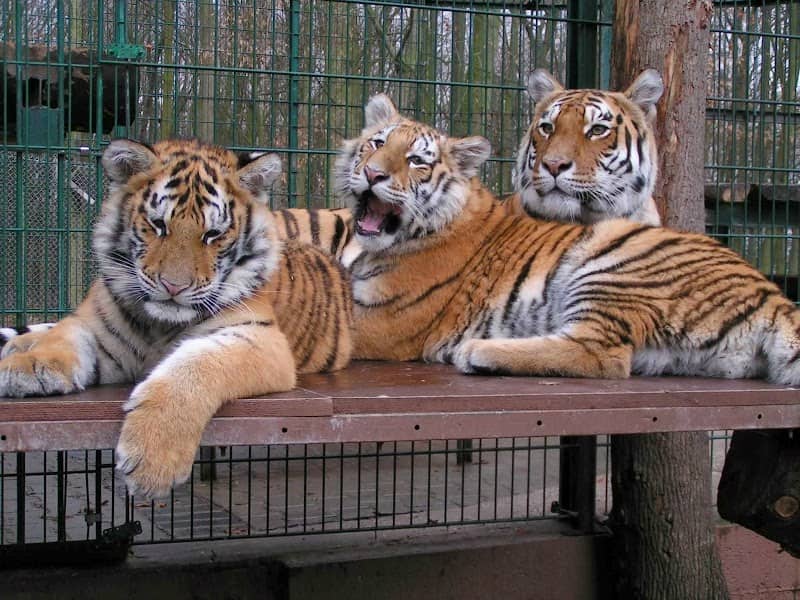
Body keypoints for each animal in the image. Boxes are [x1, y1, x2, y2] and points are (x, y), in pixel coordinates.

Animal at [0, 138, 352, 498]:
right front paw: (28, 367)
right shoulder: (95, 324)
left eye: (213, 234)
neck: (158, 324)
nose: (174, 286)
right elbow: (64, 335)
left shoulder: (258, 338)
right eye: (158, 224)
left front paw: (153, 462)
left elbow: (196, 366)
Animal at [335, 93, 800, 385]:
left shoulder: (381, 320)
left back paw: (477, 350)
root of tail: (774, 296)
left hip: (611, 262)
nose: (373, 173)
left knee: (602, 355)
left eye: (416, 161)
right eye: (376, 144)